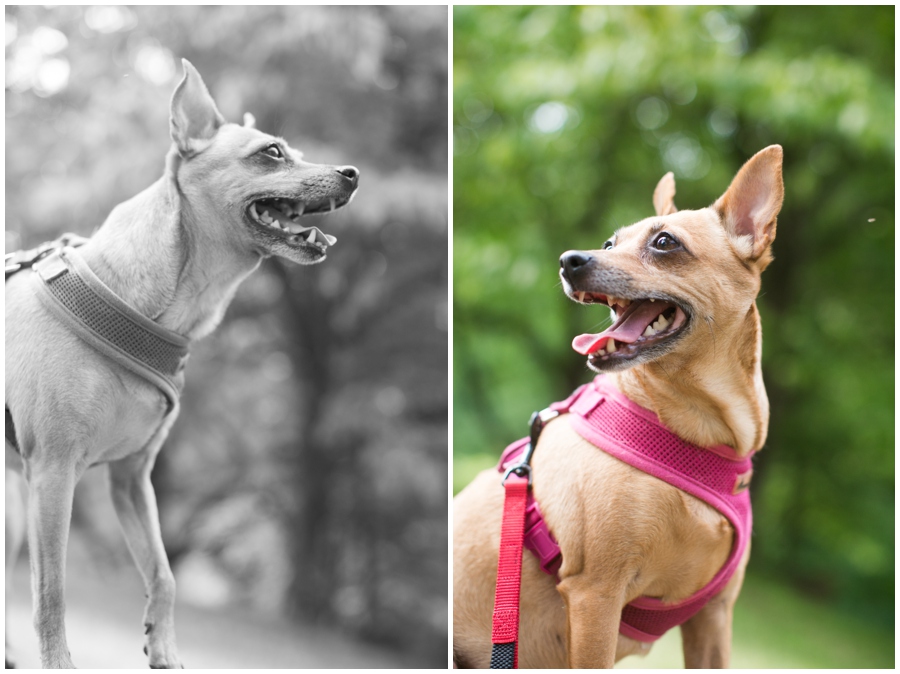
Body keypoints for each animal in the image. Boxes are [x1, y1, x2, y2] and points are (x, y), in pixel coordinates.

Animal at [7, 59, 358, 668]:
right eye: (272, 153)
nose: (352, 173)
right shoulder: (52, 473)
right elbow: (51, 592)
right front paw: (59, 663)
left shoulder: (132, 480)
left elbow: (164, 574)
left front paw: (164, 650)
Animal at [454, 147, 784, 668]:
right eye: (610, 241)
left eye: (665, 242)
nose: (569, 260)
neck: (698, 435)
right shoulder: (596, 596)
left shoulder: (714, 617)